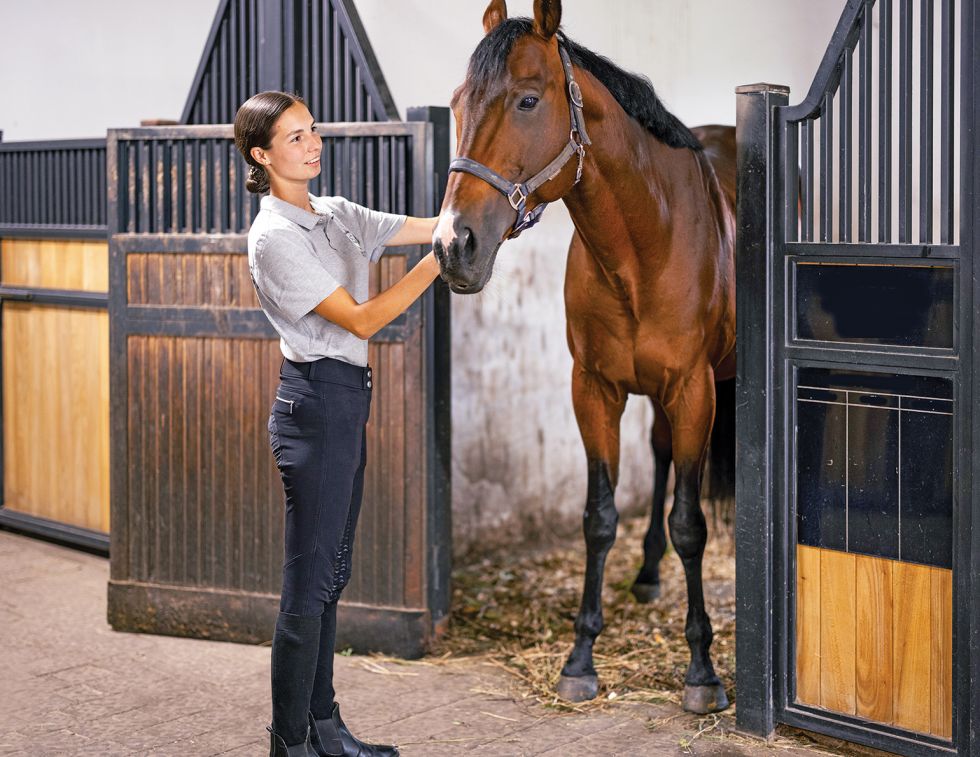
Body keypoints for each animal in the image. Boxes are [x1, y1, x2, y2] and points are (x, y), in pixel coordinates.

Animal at [436, 0, 736, 712]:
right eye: (457, 101)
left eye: (527, 100)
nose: (454, 245)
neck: (645, 245)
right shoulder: (593, 389)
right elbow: (599, 517)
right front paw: (580, 659)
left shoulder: (695, 390)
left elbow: (691, 522)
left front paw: (702, 672)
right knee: (658, 456)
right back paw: (649, 574)